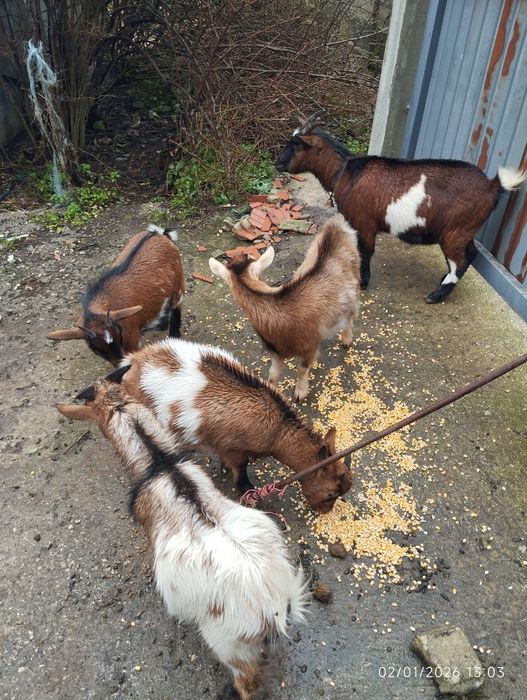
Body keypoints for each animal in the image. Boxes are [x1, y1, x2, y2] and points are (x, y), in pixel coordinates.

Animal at [47, 224, 185, 364]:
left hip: (178, 283)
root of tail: (159, 234)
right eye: (96, 350)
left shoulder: (131, 336)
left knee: (176, 306)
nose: (118, 363)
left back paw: (174, 334)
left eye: (119, 338)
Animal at [102, 337, 352, 512]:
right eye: (331, 494)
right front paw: (250, 495)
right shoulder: (236, 450)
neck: (277, 429)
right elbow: (241, 474)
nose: (324, 511)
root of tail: (133, 361)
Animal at [209, 213, 360, 402]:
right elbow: (273, 375)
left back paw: (347, 339)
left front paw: (300, 393)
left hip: (354, 282)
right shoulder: (276, 351)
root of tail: (336, 225)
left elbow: (302, 368)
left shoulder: (309, 345)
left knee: (350, 314)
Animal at [276, 111, 527, 303]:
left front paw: (363, 282)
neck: (345, 172)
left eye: (297, 144)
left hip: (455, 232)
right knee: (470, 254)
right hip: (464, 230)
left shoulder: (364, 224)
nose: (277, 162)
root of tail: (493, 186)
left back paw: (436, 295)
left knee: (461, 261)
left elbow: (365, 251)